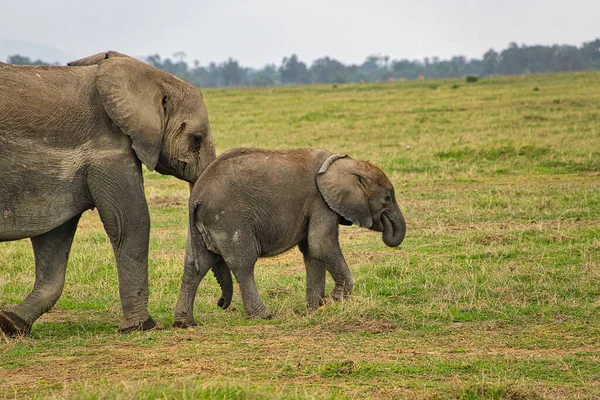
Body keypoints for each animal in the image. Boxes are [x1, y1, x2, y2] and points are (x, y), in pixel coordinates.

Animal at [0, 50, 216, 338]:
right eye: (196, 138)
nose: (184, 323)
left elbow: (54, 238)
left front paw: (12, 323)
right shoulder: (108, 149)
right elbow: (131, 222)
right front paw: (140, 326)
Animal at [173, 148, 408, 326]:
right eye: (387, 198)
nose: (220, 303)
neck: (344, 163)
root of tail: (197, 195)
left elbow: (312, 251)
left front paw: (315, 309)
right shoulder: (320, 201)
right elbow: (321, 244)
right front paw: (332, 301)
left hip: (202, 225)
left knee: (196, 266)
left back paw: (184, 323)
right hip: (228, 218)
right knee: (243, 264)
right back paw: (264, 315)